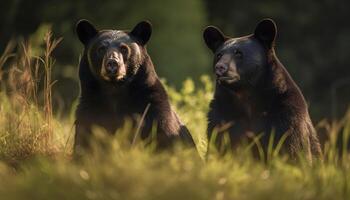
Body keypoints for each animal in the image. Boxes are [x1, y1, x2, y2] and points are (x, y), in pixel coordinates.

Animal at [74, 19, 194, 153]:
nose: (112, 63)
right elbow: (84, 139)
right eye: (101, 49)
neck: (115, 89)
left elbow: (162, 133)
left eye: (124, 49)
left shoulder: (152, 106)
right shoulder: (90, 108)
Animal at [204, 18, 322, 159]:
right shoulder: (223, 115)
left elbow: (293, 148)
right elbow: (219, 142)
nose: (220, 67)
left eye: (238, 53)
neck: (246, 95)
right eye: (219, 55)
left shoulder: (286, 115)